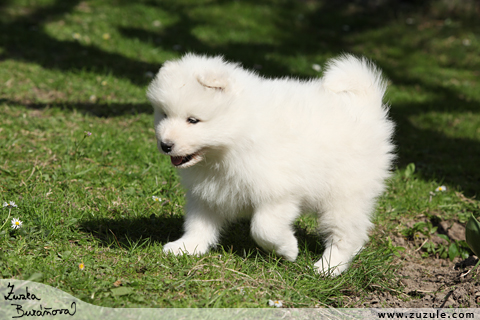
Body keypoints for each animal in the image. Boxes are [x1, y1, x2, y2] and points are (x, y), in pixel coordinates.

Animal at [146, 53, 394, 276]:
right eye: (164, 114)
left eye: (193, 120)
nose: (165, 145)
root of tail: (366, 105)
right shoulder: (210, 190)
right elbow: (198, 223)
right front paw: (187, 247)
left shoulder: (278, 193)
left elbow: (264, 229)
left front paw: (288, 250)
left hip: (344, 194)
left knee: (345, 233)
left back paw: (329, 267)